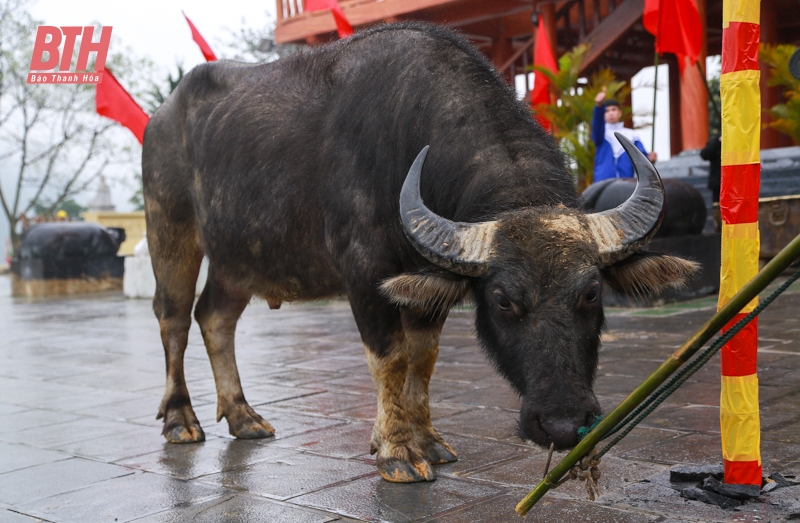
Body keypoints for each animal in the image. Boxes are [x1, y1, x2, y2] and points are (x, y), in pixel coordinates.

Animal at [144, 23, 700, 484]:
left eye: (590, 293)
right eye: (502, 300)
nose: (563, 424)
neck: (404, 134)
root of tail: (161, 118)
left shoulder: (426, 284)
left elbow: (423, 358)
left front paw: (427, 441)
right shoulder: (365, 274)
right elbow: (390, 357)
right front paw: (396, 451)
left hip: (237, 260)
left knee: (215, 318)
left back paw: (244, 416)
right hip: (169, 231)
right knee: (173, 318)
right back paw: (180, 421)